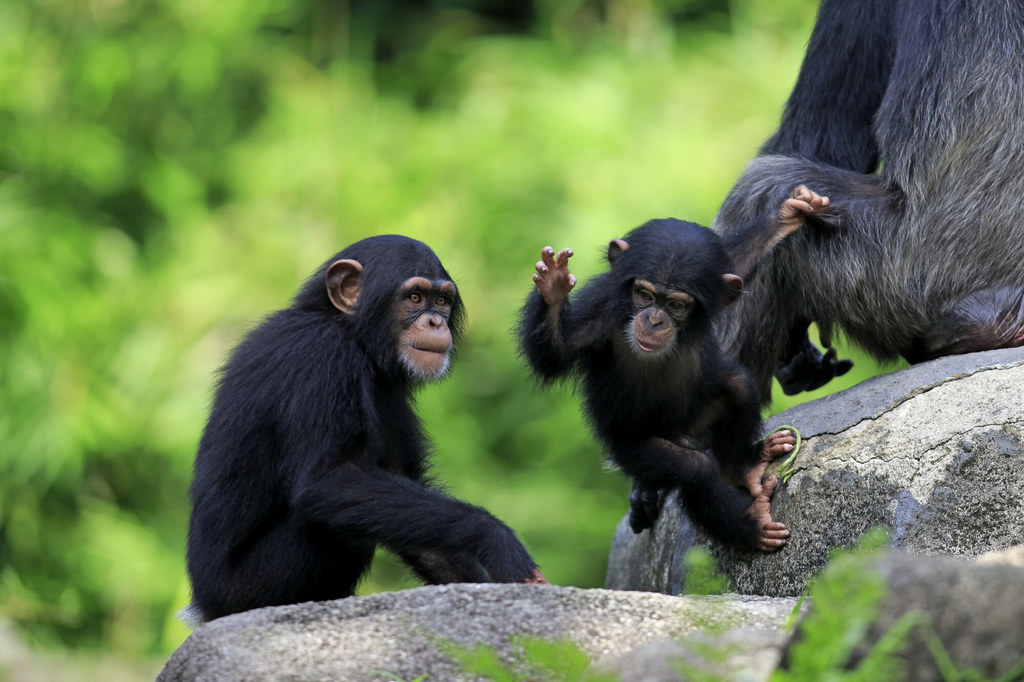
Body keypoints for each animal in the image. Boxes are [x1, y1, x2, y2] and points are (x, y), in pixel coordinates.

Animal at [189, 235, 548, 622]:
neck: (349, 332)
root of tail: (204, 607)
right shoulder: (323, 356)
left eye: (442, 301)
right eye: (415, 298)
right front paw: (497, 540)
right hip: (245, 589)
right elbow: (331, 479)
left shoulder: (390, 396)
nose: (436, 322)